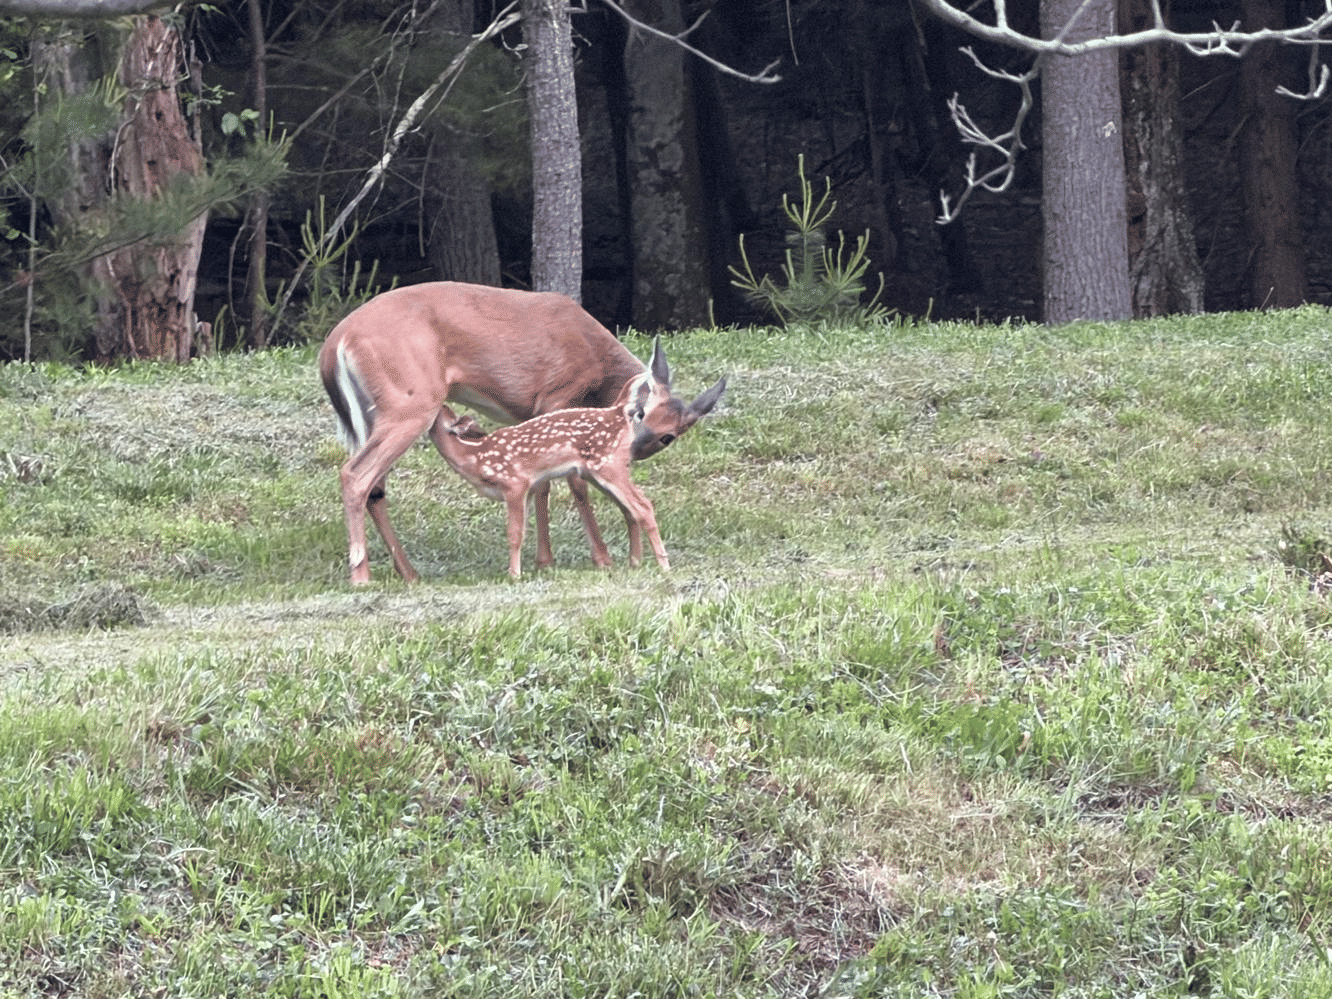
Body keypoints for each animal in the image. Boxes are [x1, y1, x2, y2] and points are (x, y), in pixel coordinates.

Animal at [431, 378, 672, 578]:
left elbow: (514, 534)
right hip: (598, 470)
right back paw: (635, 563)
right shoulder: (527, 490)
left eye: (438, 408)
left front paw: (514, 575)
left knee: (643, 506)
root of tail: (617, 412)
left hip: (608, 466)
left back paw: (663, 565)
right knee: (631, 508)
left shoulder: (515, 483)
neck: (473, 456)